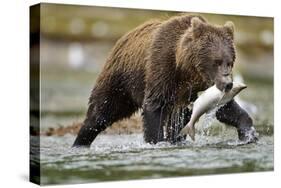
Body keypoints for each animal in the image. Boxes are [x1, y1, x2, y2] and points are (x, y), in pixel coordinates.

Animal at [72, 14, 256, 147]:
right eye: (216, 62)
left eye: (229, 62)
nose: (228, 83)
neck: (186, 69)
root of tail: (122, 39)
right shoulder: (162, 68)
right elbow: (154, 107)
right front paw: (157, 141)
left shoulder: (199, 87)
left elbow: (225, 108)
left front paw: (249, 134)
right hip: (120, 81)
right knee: (101, 112)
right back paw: (80, 142)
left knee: (182, 119)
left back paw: (177, 140)